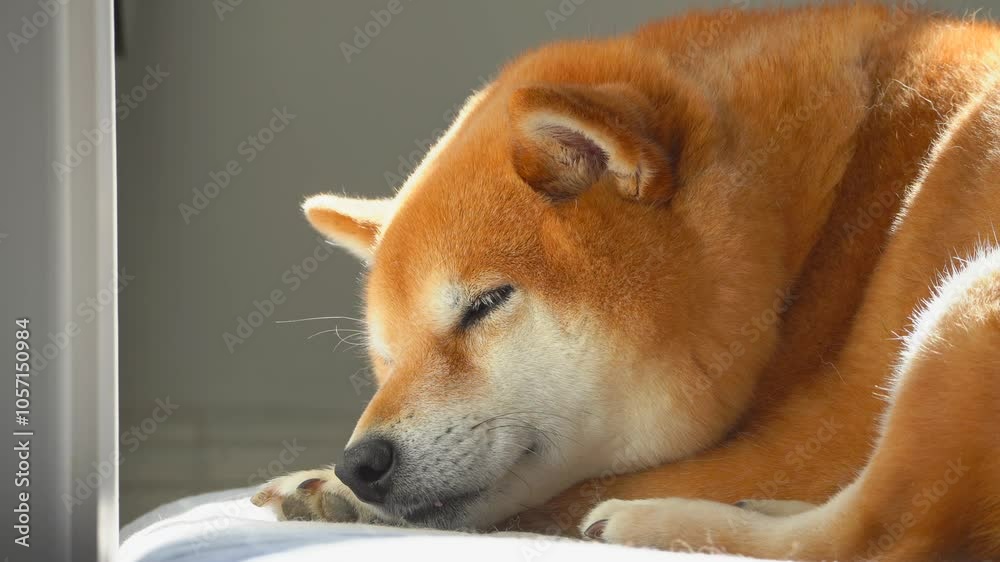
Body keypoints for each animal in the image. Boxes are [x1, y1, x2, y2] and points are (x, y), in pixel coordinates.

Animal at [251, 4, 1000, 559]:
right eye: (388, 358)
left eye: (486, 304)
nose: (361, 464)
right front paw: (330, 486)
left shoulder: (827, 432)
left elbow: (561, 492)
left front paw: (326, 489)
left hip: (962, 306)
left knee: (876, 534)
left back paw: (653, 523)